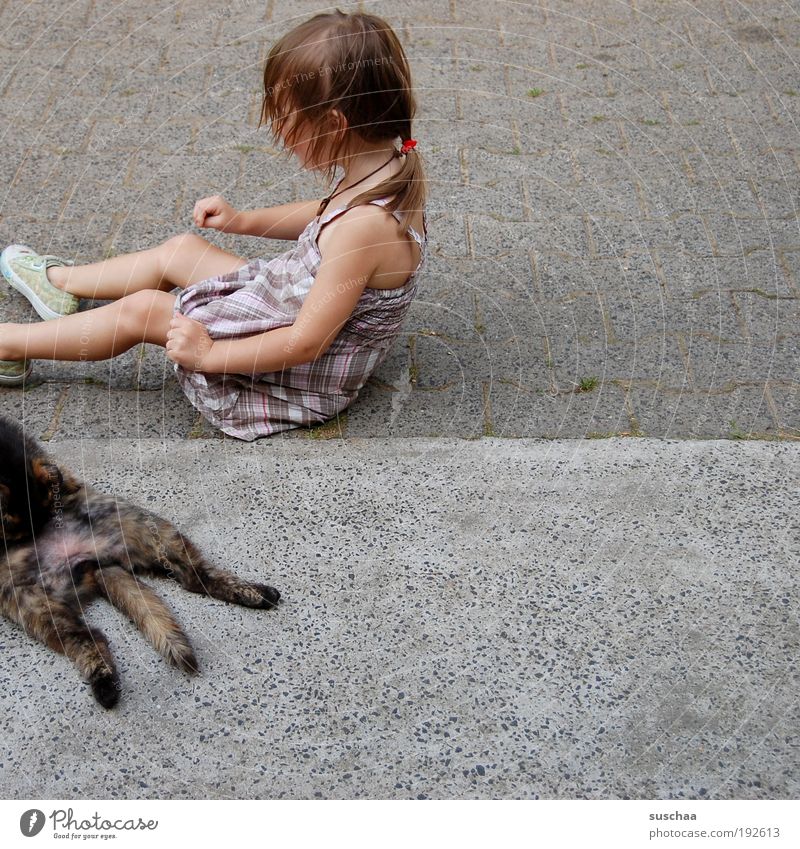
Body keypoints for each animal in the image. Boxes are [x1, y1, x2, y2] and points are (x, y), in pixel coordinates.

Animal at [0, 414, 282, 704]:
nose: (36, 532)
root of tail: (89, 561)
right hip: (31, 602)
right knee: (87, 637)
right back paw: (105, 682)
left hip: (143, 530)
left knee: (196, 576)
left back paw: (258, 594)